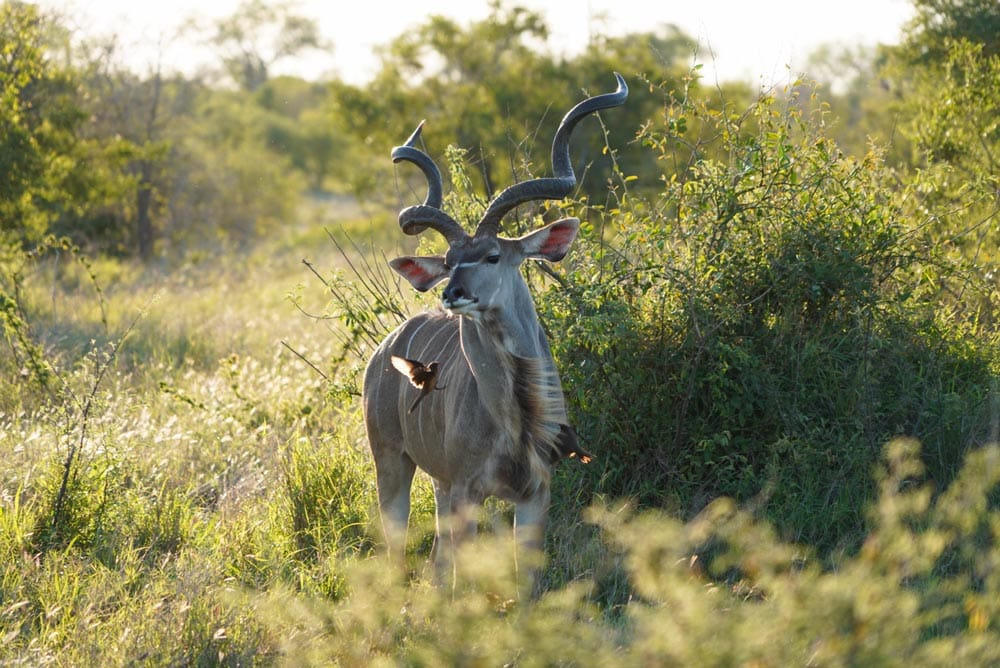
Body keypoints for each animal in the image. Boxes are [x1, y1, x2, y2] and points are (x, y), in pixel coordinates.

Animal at [362, 72, 624, 576]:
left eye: (492, 255)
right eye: (448, 261)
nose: (452, 293)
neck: (515, 420)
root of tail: (385, 348)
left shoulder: (536, 493)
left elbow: (525, 578)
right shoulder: (468, 491)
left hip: (439, 486)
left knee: (433, 560)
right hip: (393, 463)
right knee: (401, 550)